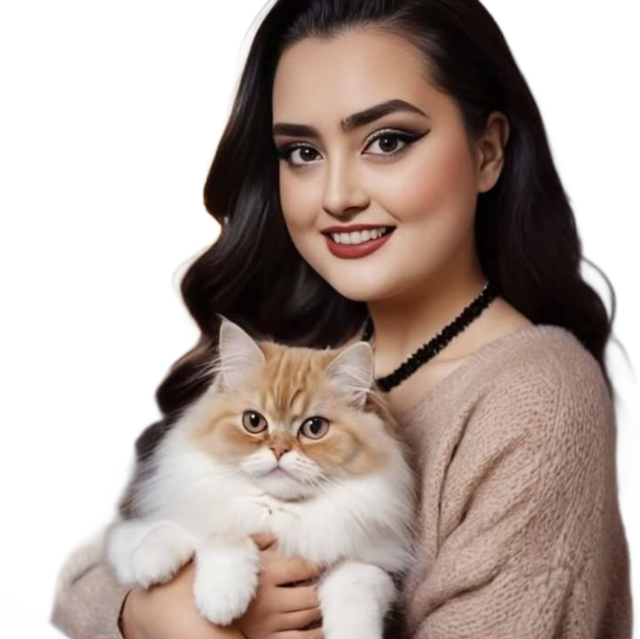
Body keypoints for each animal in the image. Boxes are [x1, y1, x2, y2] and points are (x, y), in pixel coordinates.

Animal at [106, 316, 417, 639]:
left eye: (314, 427)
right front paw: (216, 596)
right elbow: (208, 532)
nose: (279, 450)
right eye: (254, 422)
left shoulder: (373, 563)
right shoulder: (131, 535)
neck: (279, 513)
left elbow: (353, 593)